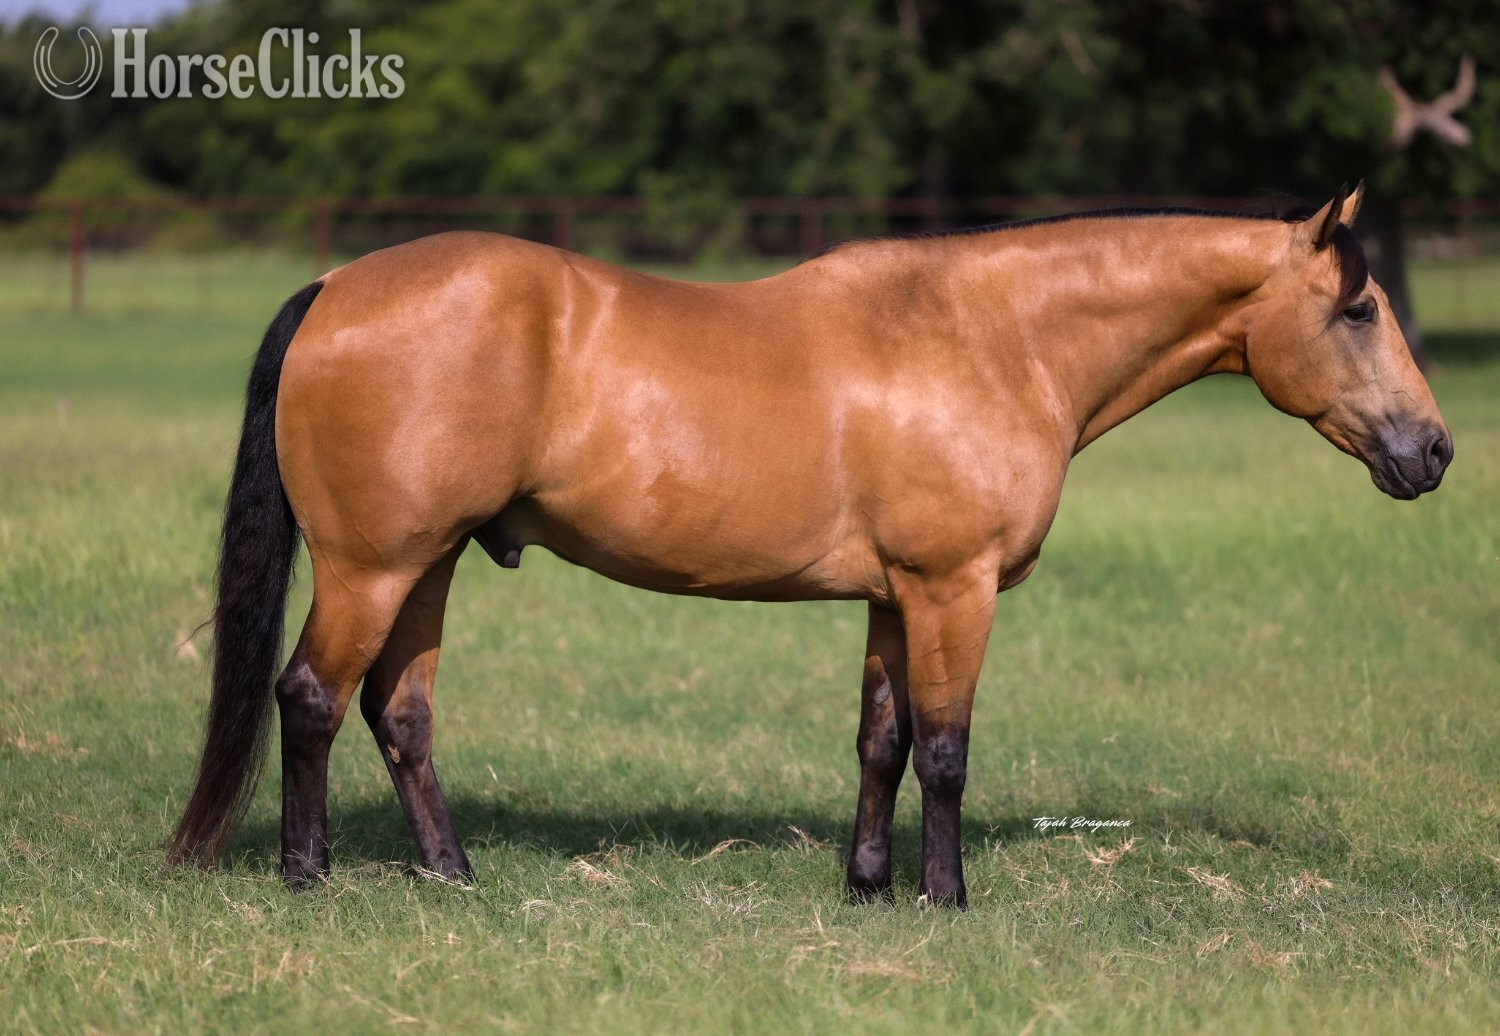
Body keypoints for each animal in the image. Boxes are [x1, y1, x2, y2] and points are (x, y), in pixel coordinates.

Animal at [167, 183, 1451, 907]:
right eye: (1357, 310)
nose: (1433, 450)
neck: (992, 337)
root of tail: (337, 285)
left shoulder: (893, 597)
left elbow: (882, 741)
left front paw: (869, 886)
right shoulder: (954, 590)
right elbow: (946, 750)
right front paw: (946, 897)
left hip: (425, 564)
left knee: (402, 711)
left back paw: (450, 872)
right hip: (373, 566)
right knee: (310, 696)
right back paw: (308, 874)